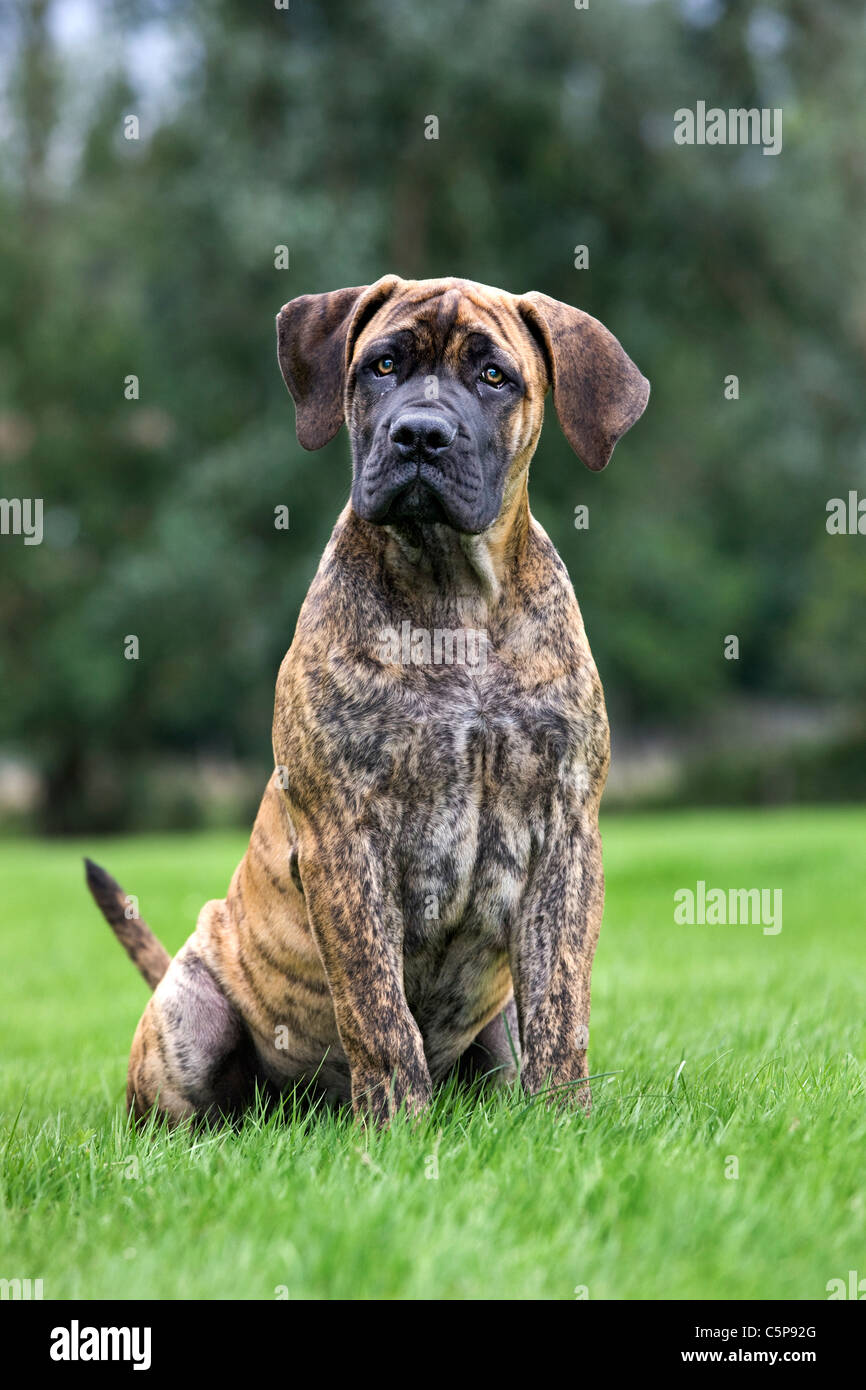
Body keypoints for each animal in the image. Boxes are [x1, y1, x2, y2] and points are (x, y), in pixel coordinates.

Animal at [86, 273, 650, 1128]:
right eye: (383, 365)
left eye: (494, 377)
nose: (420, 435)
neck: (454, 599)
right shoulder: (342, 838)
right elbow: (378, 1009)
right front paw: (398, 1129)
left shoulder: (566, 833)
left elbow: (562, 1003)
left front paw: (564, 1121)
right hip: (192, 1011)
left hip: (496, 1027)